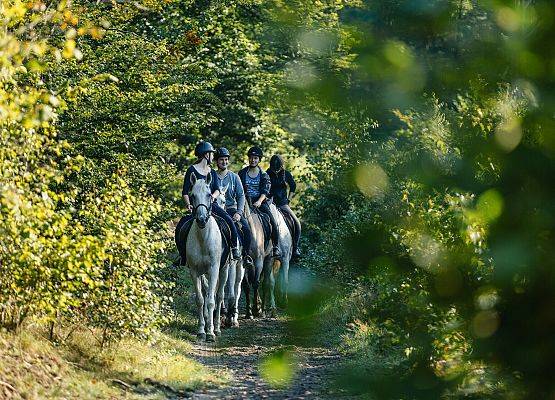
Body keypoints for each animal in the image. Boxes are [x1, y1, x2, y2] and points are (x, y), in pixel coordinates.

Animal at [185, 174, 228, 340]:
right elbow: (200, 299)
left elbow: (210, 300)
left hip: (224, 269)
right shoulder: (194, 271)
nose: (202, 219)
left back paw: (217, 328)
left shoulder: (214, 269)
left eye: (209, 194)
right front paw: (201, 330)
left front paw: (210, 332)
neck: (203, 238)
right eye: (192, 195)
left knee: (219, 296)